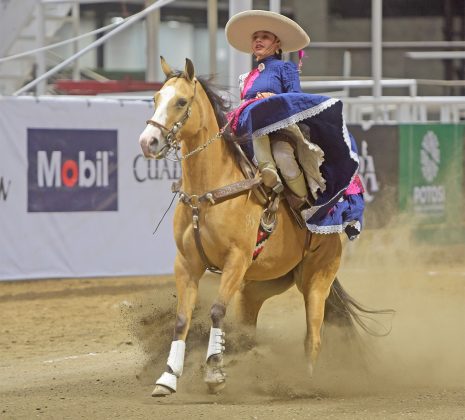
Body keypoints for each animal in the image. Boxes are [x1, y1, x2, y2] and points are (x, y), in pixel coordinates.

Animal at [139, 57, 388, 396]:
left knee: (313, 337)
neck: (210, 191)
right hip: (256, 287)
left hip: (316, 280)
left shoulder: (236, 261)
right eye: (155, 98)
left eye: (180, 101)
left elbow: (216, 310)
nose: (147, 142)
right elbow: (181, 318)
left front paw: (214, 373)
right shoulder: (187, 263)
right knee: (250, 330)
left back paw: (304, 383)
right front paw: (167, 378)